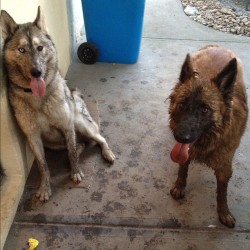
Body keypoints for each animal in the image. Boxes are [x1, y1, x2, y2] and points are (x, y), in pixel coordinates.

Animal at [0, 6, 114, 201]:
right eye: (21, 49)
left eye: (40, 48)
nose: (36, 72)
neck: (38, 98)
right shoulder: (33, 138)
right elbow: (42, 165)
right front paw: (45, 187)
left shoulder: (67, 126)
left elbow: (72, 152)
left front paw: (75, 172)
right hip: (52, 143)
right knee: (80, 144)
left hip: (81, 124)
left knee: (99, 138)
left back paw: (107, 153)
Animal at [168, 44, 248, 228]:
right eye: (182, 104)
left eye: (205, 109)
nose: (181, 137)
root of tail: (218, 46)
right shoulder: (185, 153)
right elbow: (182, 169)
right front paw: (179, 186)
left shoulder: (225, 167)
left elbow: (222, 193)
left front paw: (224, 212)